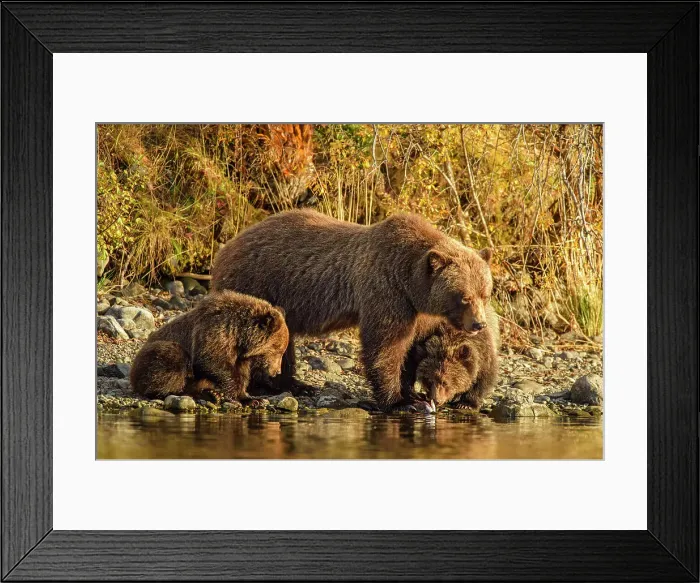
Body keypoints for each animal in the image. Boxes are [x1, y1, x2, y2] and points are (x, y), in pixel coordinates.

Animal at [129, 290, 289, 405]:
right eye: (278, 349)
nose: (277, 372)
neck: (239, 337)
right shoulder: (213, 332)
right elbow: (211, 361)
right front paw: (232, 396)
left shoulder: (239, 355)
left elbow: (242, 374)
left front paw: (253, 399)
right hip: (156, 353)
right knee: (173, 360)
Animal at [210, 209, 493, 411]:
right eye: (465, 297)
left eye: (485, 293)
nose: (479, 324)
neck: (410, 282)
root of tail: (225, 249)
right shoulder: (385, 290)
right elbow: (386, 346)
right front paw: (402, 401)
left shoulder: (418, 311)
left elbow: (411, 347)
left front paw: (412, 392)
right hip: (256, 286)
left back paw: (298, 385)